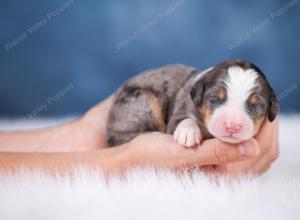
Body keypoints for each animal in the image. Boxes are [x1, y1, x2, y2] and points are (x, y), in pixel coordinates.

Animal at [106, 60, 278, 148]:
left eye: (256, 106)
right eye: (215, 99)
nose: (232, 126)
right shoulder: (180, 109)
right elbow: (184, 120)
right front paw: (187, 132)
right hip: (142, 100)